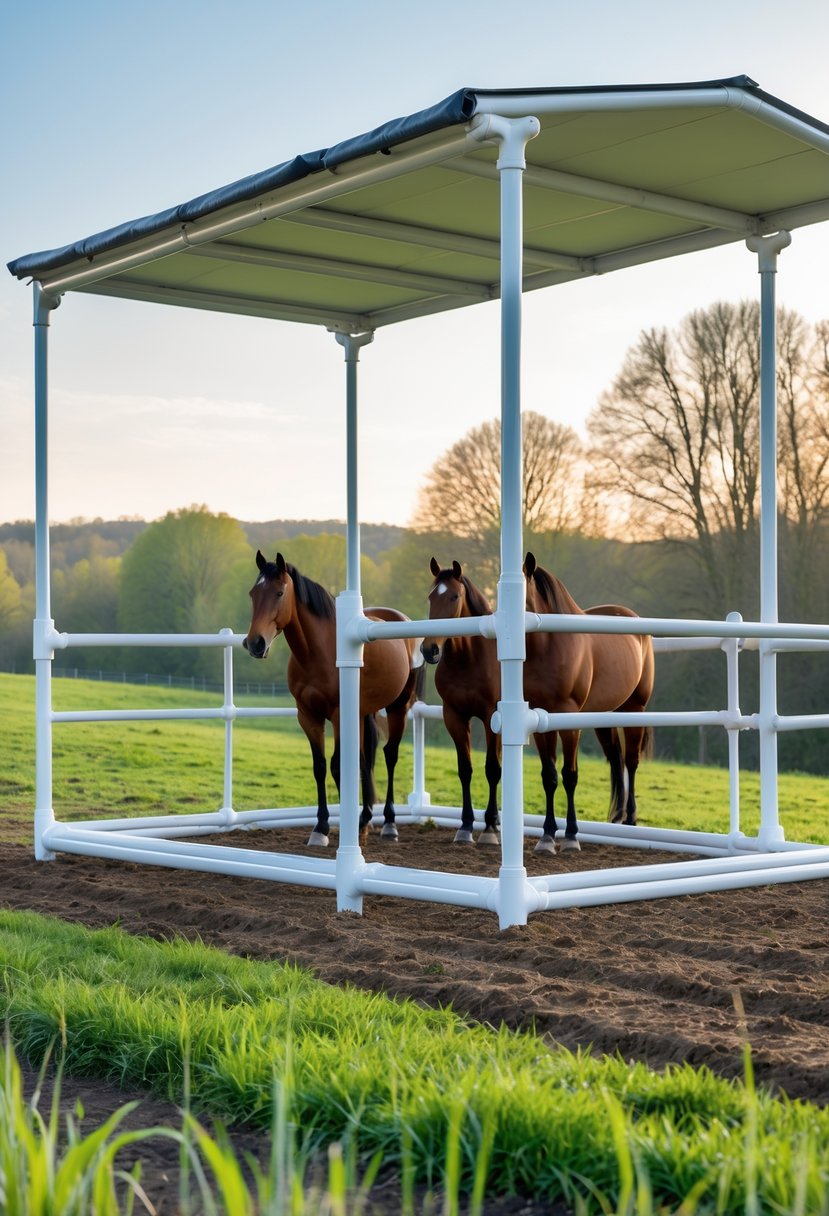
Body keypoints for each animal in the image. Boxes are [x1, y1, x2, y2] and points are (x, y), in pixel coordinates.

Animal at [243, 551, 423, 847]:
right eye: (253, 593)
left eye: (279, 592)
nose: (255, 643)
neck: (319, 652)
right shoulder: (308, 716)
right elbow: (321, 767)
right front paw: (322, 827)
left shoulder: (340, 716)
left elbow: (340, 767)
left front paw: (347, 827)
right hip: (364, 713)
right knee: (367, 759)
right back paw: (367, 818)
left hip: (398, 708)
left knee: (390, 756)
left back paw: (388, 823)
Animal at [523, 551, 654, 853]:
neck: (552, 645)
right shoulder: (541, 721)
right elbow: (549, 776)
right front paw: (547, 835)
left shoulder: (570, 721)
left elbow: (570, 775)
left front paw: (571, 835)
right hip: (604, 716)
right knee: (616, 761)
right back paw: (617, 817)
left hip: (635, 709)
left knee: (630, 762)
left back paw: (630, 819)